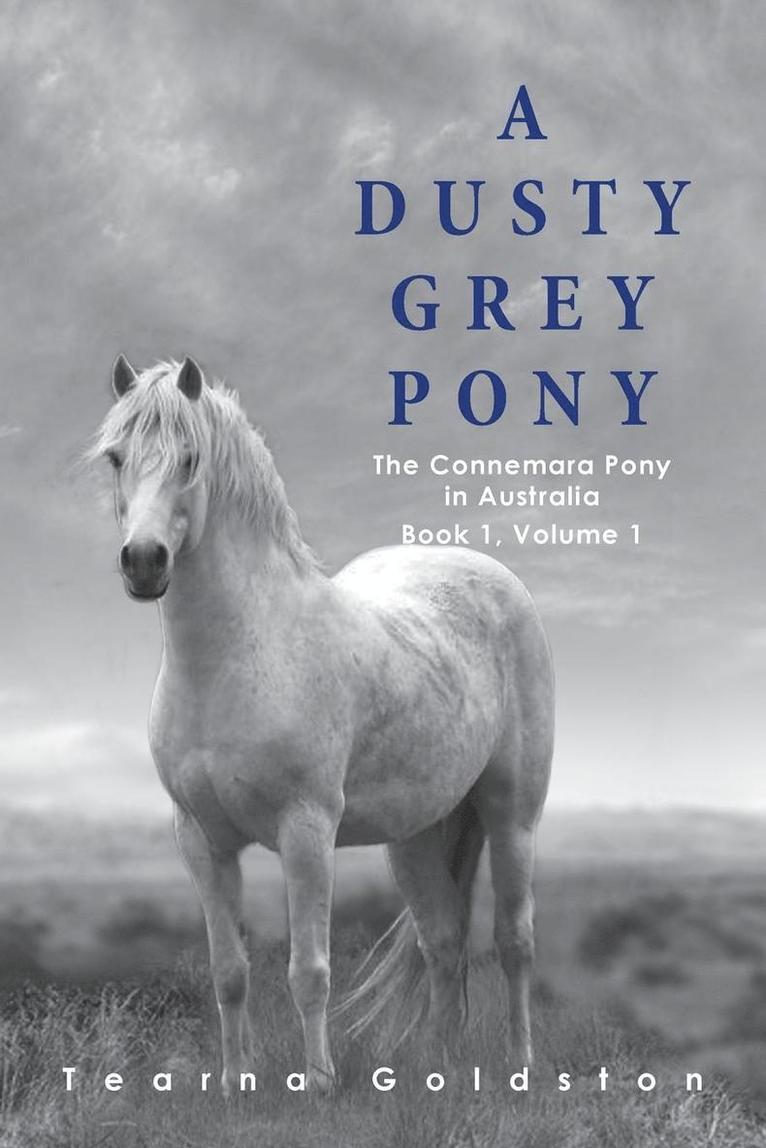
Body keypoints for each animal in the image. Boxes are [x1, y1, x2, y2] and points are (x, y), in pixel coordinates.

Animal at [91, 354, 554, 1095]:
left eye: (190, 458)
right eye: (116, 458)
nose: (143, 562)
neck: (242, 650)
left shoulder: (305, 831)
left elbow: (309, 972)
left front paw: (318, 1084)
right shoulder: (201, 841)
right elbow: (229, 973)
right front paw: (235, 1084)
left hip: (512, 817)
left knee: (514, 942)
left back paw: (520, 1067)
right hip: (416, 835)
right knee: (443, 941)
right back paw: (440, 1067)